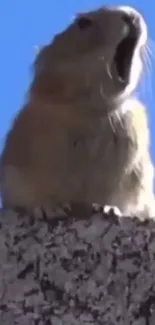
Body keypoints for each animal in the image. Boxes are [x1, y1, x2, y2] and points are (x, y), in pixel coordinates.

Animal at [0, 5, 154, 219]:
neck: (91, 109)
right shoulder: (17, 163)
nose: (132, 15)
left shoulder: (137, 177)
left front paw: (109, 209)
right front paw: (49, 209)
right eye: (83, 23)